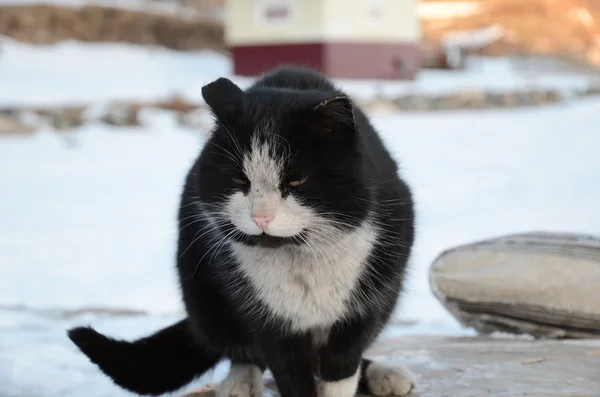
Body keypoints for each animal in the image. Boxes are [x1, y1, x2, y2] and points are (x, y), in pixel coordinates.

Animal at [68, 65, 418, 396]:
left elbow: (341, 366)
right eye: (238, 179)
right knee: (241, 350)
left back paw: (383, 373)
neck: (301, 262)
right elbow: (290, 375)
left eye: (296, 180)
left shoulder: (365, 309)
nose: (261, 216)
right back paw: (239, 382)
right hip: (202, 296)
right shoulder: (268, 321)